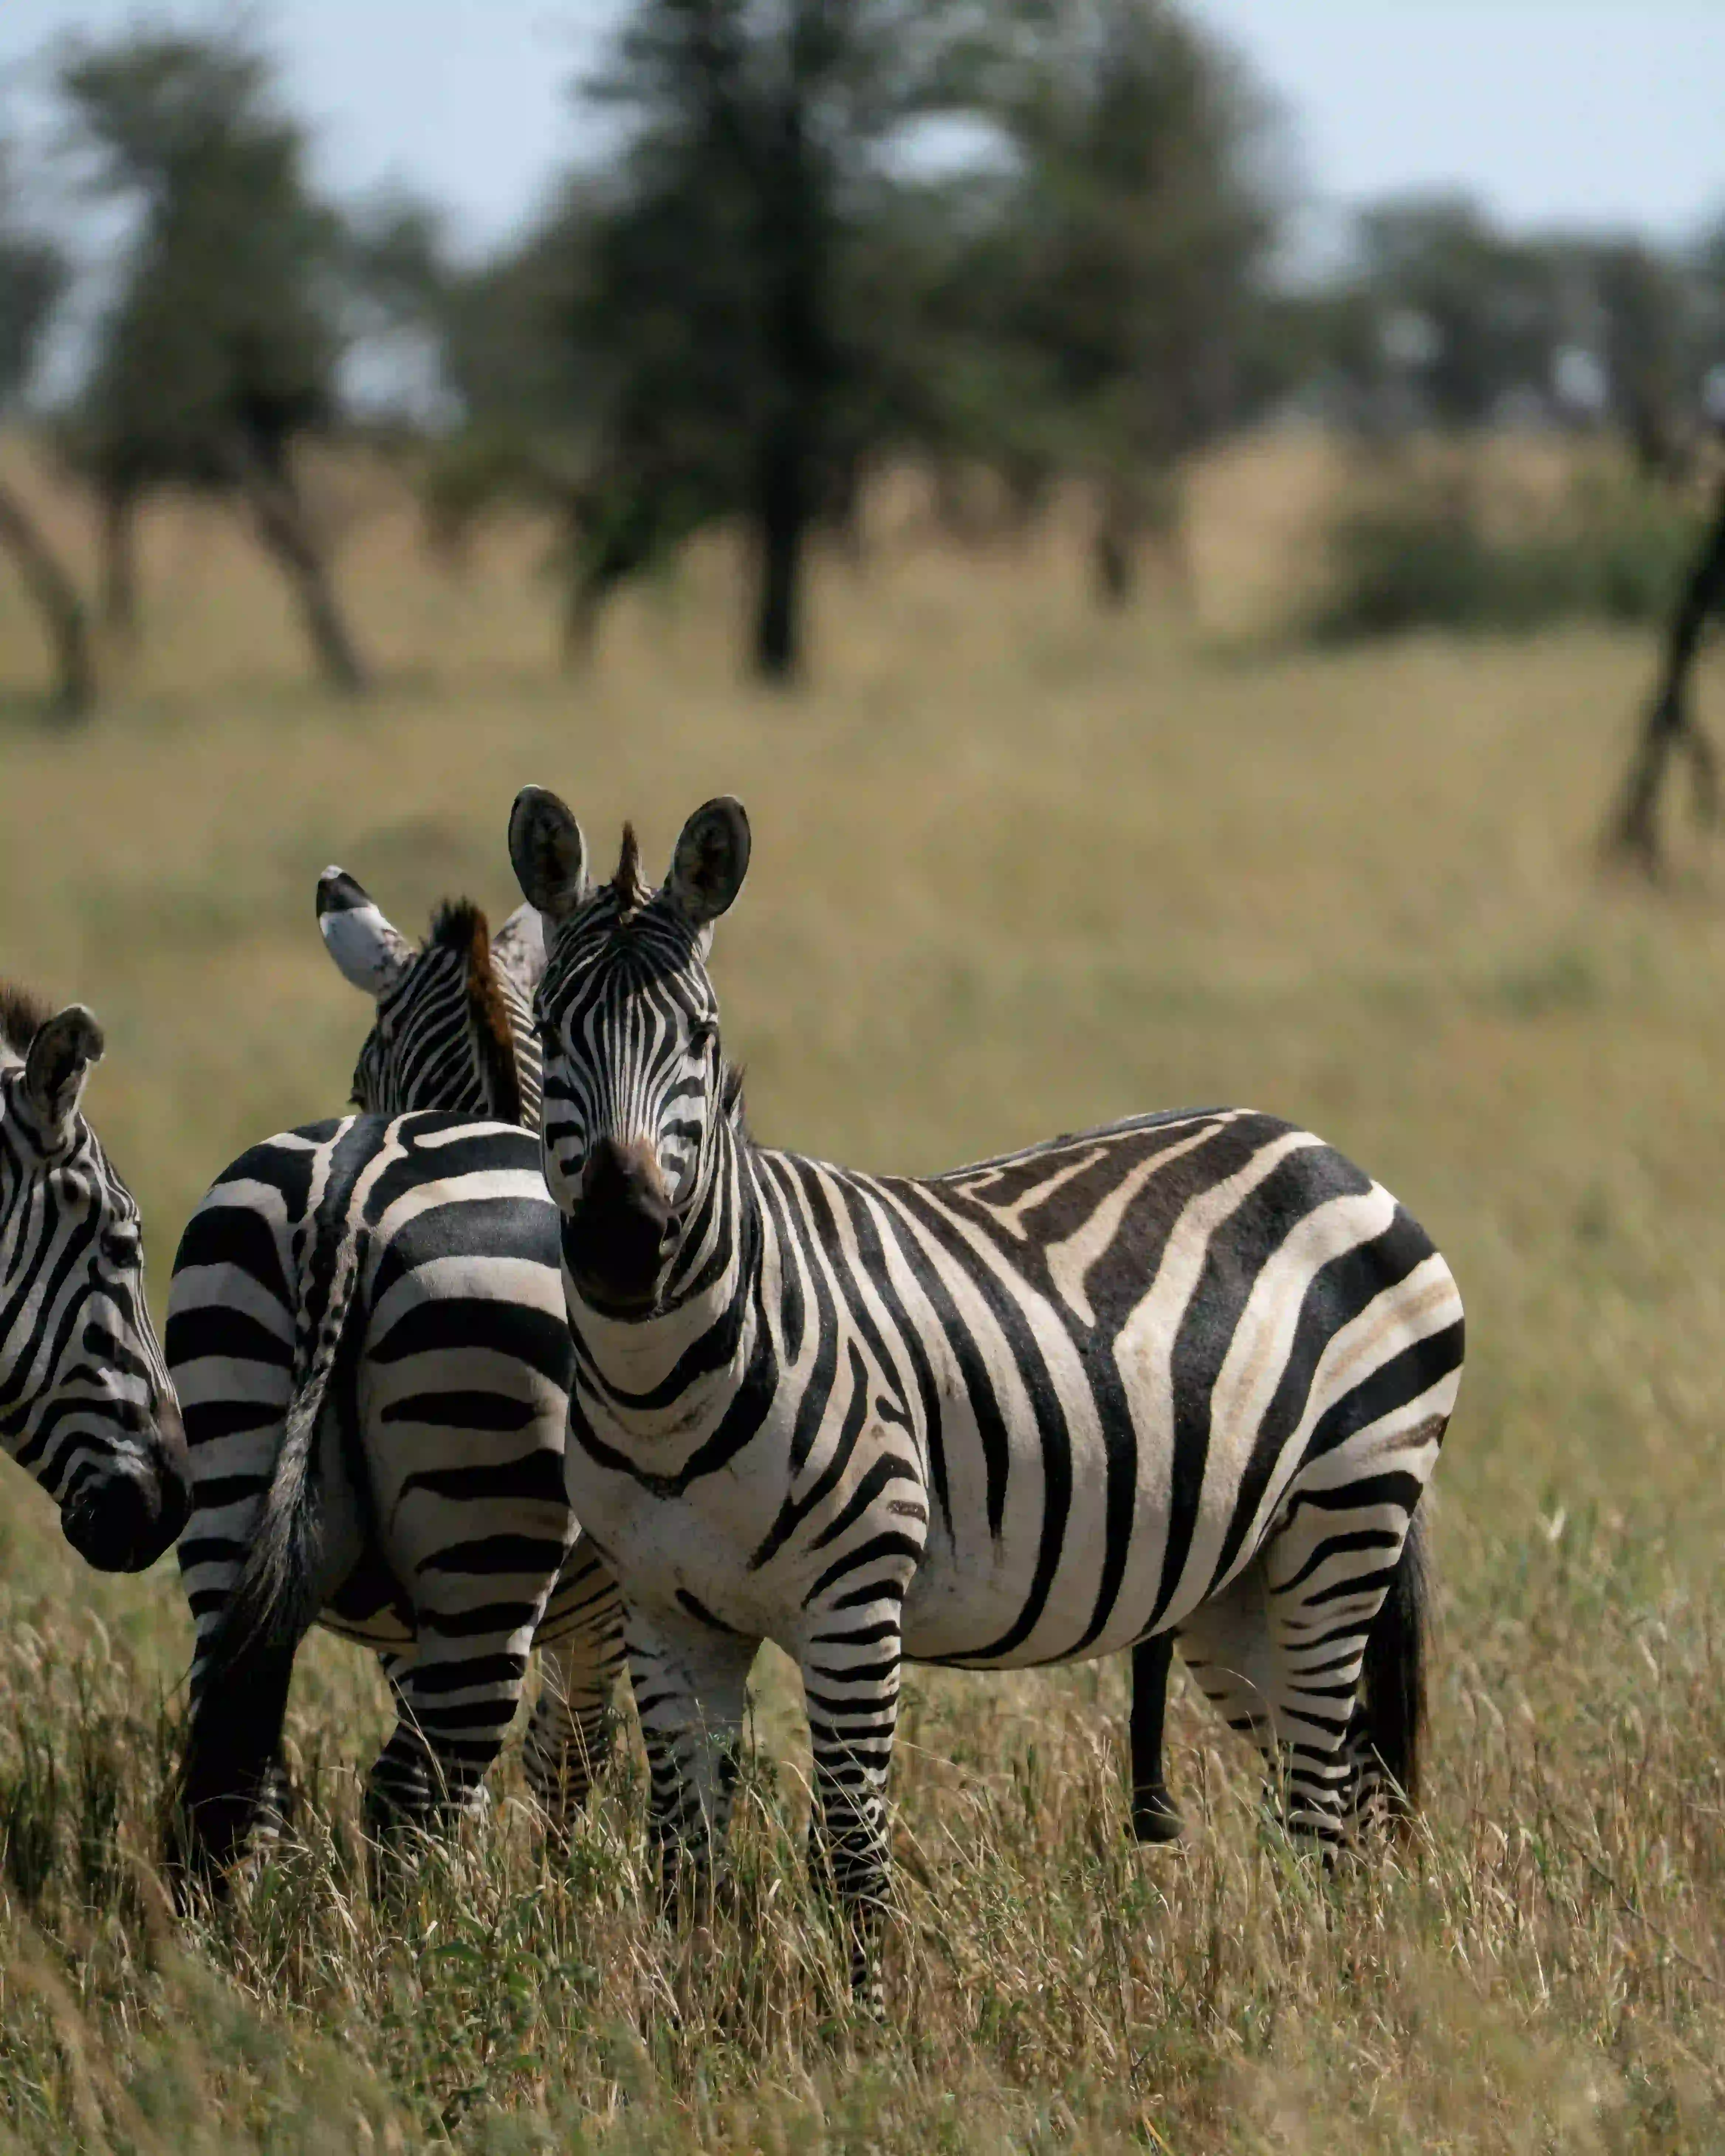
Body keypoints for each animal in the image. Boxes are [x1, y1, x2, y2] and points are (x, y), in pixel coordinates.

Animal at [167, 876, 621, 1886]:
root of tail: (348, 1203)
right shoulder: (612, 1600)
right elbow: (571, 1750)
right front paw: (563, 1886)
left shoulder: (404, 1625)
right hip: (487, 1524)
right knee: (416, 1787)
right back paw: (442, 1933)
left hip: (228, 1465)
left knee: (240, 1777)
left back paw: (256, 1932)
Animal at [507, 787, 1465, 2006]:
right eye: (548, 1030)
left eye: (703, 1039)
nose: (626, 1241)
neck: (664, 1388)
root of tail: (1330, 1154)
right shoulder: (669, 1615)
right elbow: (685, 1858)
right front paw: (692, 2019)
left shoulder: (855, 1597)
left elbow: (851, 1846)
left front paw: (867, 2025)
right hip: (1240, 1582)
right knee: (1338, 1779)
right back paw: (1327, 1972)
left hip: (1347, 1513)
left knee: (1329, 1794)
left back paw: (1328, 1992)